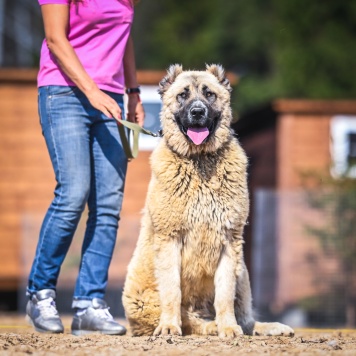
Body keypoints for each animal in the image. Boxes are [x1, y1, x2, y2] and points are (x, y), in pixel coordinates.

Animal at [123, 64, 294, 340]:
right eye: (183, 95)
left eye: (209, 94)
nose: (197, 112)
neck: (200, 160)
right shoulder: (169, 240)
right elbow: (172, 292)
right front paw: (169, 326)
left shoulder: (229, 242)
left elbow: (224, 296)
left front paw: (228, 327)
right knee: (191, 320)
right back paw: (206, 325)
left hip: (242, 271)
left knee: (245, 320)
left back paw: (263, 327)